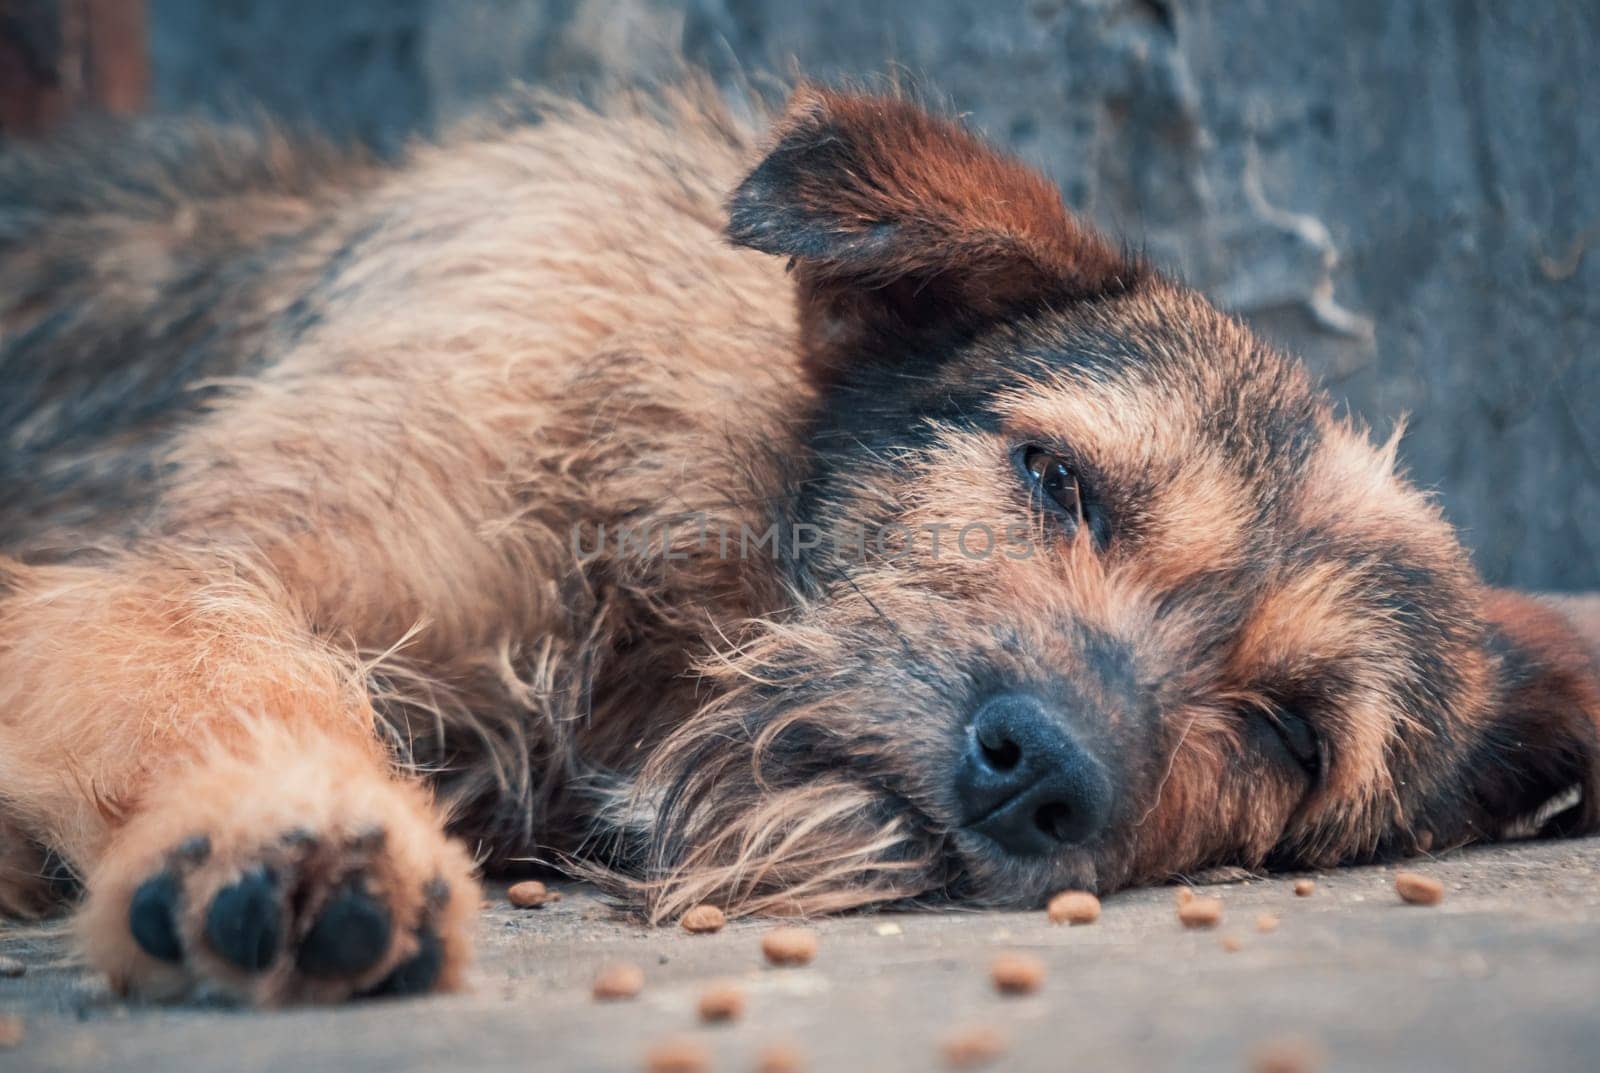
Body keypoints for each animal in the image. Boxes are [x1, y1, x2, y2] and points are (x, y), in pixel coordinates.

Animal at [0, 83, 1593, 1010]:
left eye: (1287, 732)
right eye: (1057, 479)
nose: (1038, 771)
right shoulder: (209, 559)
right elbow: (209, 647)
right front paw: (283, 820)